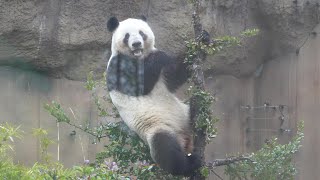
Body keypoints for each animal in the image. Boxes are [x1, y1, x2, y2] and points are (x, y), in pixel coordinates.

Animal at [105, 15, 200, 176]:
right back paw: (188, 165)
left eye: (141, 33)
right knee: (164, 147)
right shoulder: (117, 65)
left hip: (184, 114)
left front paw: (203, 41)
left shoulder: (163, 75)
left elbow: (175, 77)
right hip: (156, 126)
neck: (139, 58)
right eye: (127, 36)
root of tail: (185, 138)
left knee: (192, 111)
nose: (137, 44)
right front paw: (161, 55)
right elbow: (138, 86)